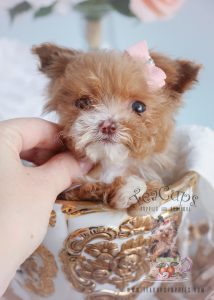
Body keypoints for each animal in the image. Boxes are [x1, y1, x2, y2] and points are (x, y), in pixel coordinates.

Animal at [32, 42, 200, 209]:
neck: (111, 163)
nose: (108, 126)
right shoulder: (72, 190)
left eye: (139, 107)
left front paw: (130, 189)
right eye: (83, 102)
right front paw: (129, 189)